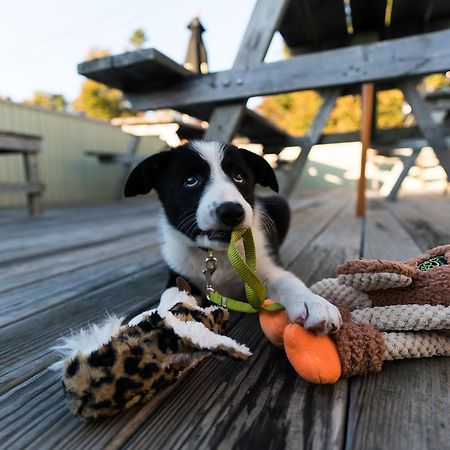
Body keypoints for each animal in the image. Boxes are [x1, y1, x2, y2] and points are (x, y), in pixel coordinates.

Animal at [123, 141, 342, 334]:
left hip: (280, 204)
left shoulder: (266, 266)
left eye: (238, 177)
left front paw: (312, 302)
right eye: (191, 180)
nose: (231, 212)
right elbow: (171, 294)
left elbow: (287, 280)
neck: (217, 254)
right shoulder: (179, 274)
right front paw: (156, 315)